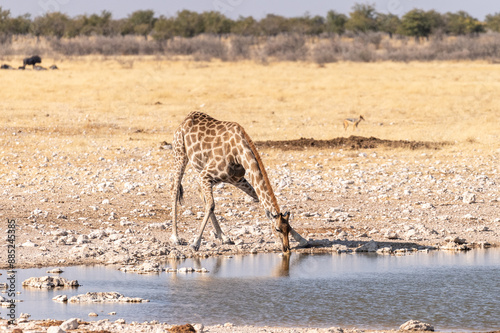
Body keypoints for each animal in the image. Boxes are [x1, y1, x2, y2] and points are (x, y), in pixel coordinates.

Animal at [170, 110, 306, 253]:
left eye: (288, 229)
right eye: (277, 229)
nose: (286, 249)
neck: (238, 153)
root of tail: (186, 119)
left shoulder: (237, 179)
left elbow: (256, 197)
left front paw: (302, 239)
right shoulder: (206, 175)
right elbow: (211, 205)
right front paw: (195, 243)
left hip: (200, 168)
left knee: (198, 190)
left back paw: (224, 237)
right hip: (180, 154)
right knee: (175, 189)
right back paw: (175, 238)